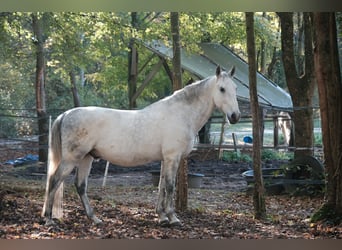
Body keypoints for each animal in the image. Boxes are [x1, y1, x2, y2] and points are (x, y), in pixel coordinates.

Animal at [42, 66, 240, 227]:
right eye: (222, 89)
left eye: (235, 89)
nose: (235, 116)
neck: (181, 114)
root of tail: (66, 114)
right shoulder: (172, 157)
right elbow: (170, 186)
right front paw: (173, 218)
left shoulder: (165, 159)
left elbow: (161, 186)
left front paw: (162, 217)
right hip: (72, 159)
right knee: (54, 180)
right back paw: (49, 219)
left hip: (86, 158)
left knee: (80, 185)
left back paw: (94, 219)